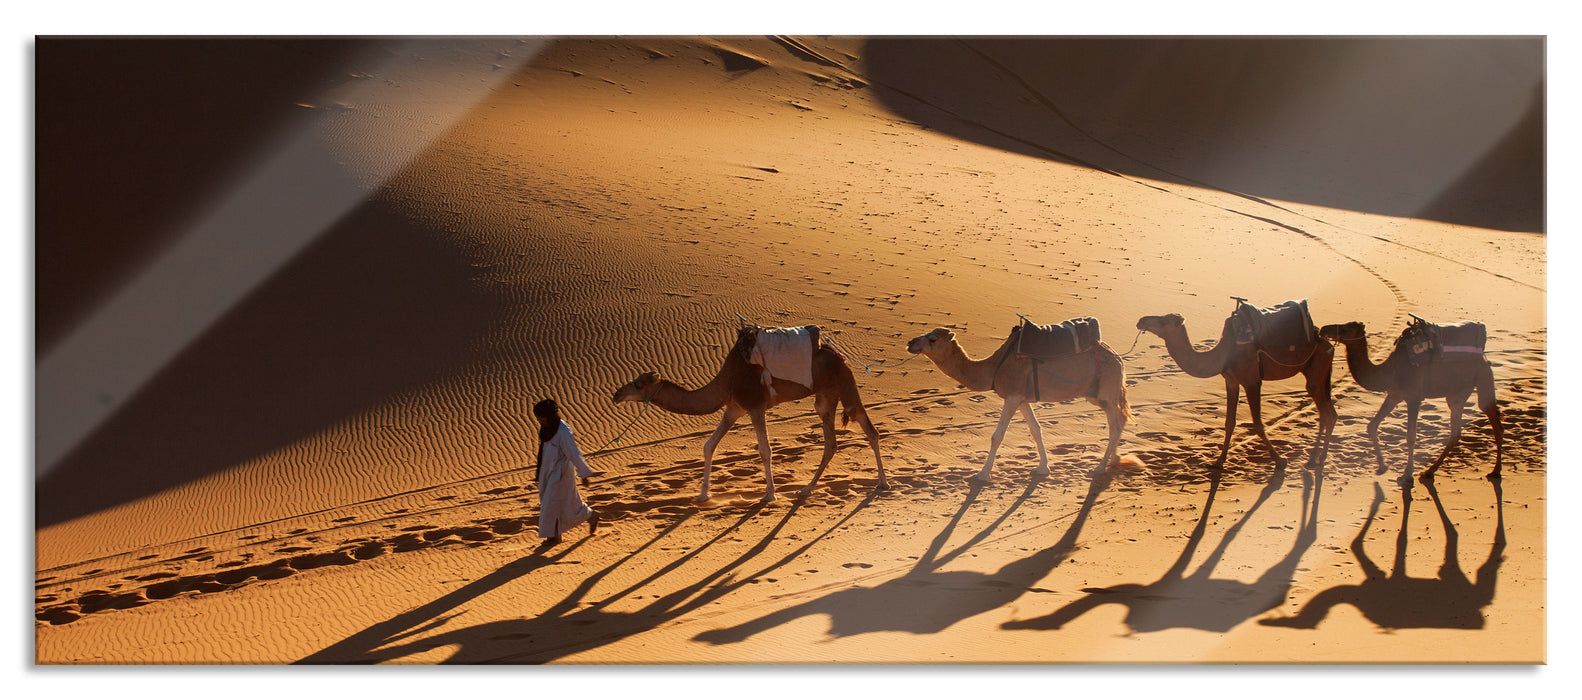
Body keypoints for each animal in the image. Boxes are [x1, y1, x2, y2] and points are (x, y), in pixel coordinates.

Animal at [607, 324, 885, 500]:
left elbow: (765, 450)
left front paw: (770, 495)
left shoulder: (754, 406)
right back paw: (806, 489)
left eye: (640, 383)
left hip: (845, 384)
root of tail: (839, 354)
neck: (726, 381)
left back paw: (883, 482)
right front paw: (703, 493)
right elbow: (709, 445)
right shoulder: (734, 408)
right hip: (825, 396)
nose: (616, 394)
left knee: (869, 429)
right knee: (830, 442)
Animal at [904, 324, 1126, 481]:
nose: (911, 342)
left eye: (933, 339)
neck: (994, 367)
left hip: (1105, 391)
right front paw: (1043, 468)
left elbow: (997, 436)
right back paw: (1115, 460)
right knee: (1121, 420)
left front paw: (982, 474)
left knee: (1115, 425)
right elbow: (1036, 430)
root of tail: (1118, 359)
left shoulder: (1012, 396)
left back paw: (1099, 468)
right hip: (1099, 393)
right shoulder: (1021, 398)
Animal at [1132, 300, 1341, 468]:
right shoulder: (1231, 380)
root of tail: (1323, 339)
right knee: (1324, 411)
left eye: (1163, 321)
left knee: (1328, 411)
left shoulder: (1252, 381)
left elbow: (1257, 424)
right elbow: (1229, 422)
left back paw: (1320, 459)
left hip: (1319, 363)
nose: (1141, 320)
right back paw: (1313, 458)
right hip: (1312, 367)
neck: (1224, 351)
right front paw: (1218, 462)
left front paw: (1280, 461)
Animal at [1316, 319, 1499, 484]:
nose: (1324, 328)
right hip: (1457, 394)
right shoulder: (1394, 394)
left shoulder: (1414, 397)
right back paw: (1429, 472)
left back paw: (1495, 471)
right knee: (1456, 432)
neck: (1390, 370)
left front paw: (1407, 474)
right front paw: (1382, 466)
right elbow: (1372, 426)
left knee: (1493, 420)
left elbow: (1410, 436)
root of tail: (1483, 357)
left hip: (1480, 377)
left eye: (1346, 328)